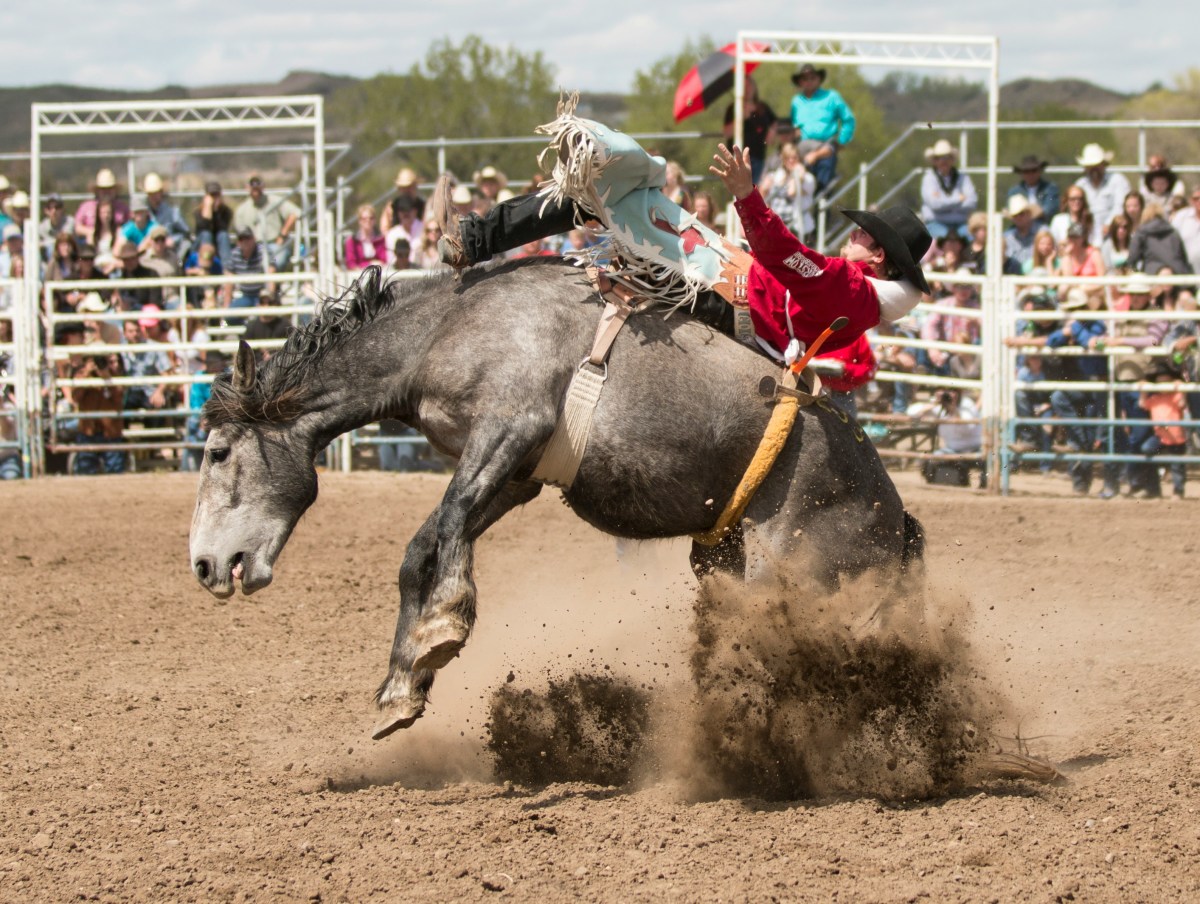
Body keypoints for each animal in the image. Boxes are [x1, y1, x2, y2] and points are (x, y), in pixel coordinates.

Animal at [187, 256, 921, 734]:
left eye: (218, 452)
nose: (204, 565)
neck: (448, 327)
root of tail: (900, 518)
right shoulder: (515, 473)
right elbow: (429, 546)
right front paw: (407, 680)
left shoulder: (509, 429)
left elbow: (442, 531)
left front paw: (437, 635)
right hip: (726, 563)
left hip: (793, 569)